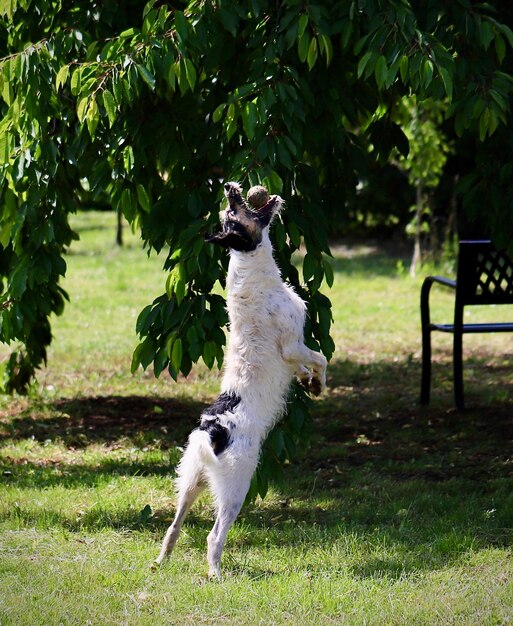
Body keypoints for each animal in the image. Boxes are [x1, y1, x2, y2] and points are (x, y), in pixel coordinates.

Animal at [154, 182, 326, 576]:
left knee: (173, 527)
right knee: (213, 536)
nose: (229, 187)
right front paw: (319, 383)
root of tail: (211, 431)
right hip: (236, 488)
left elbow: (305, 366)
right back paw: (215, 573)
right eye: (235, 212)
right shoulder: (293, 345)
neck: (250, 267)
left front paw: (308, 382)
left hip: (190, 482)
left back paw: (161, 561)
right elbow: (320, 358)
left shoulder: (294, 354)